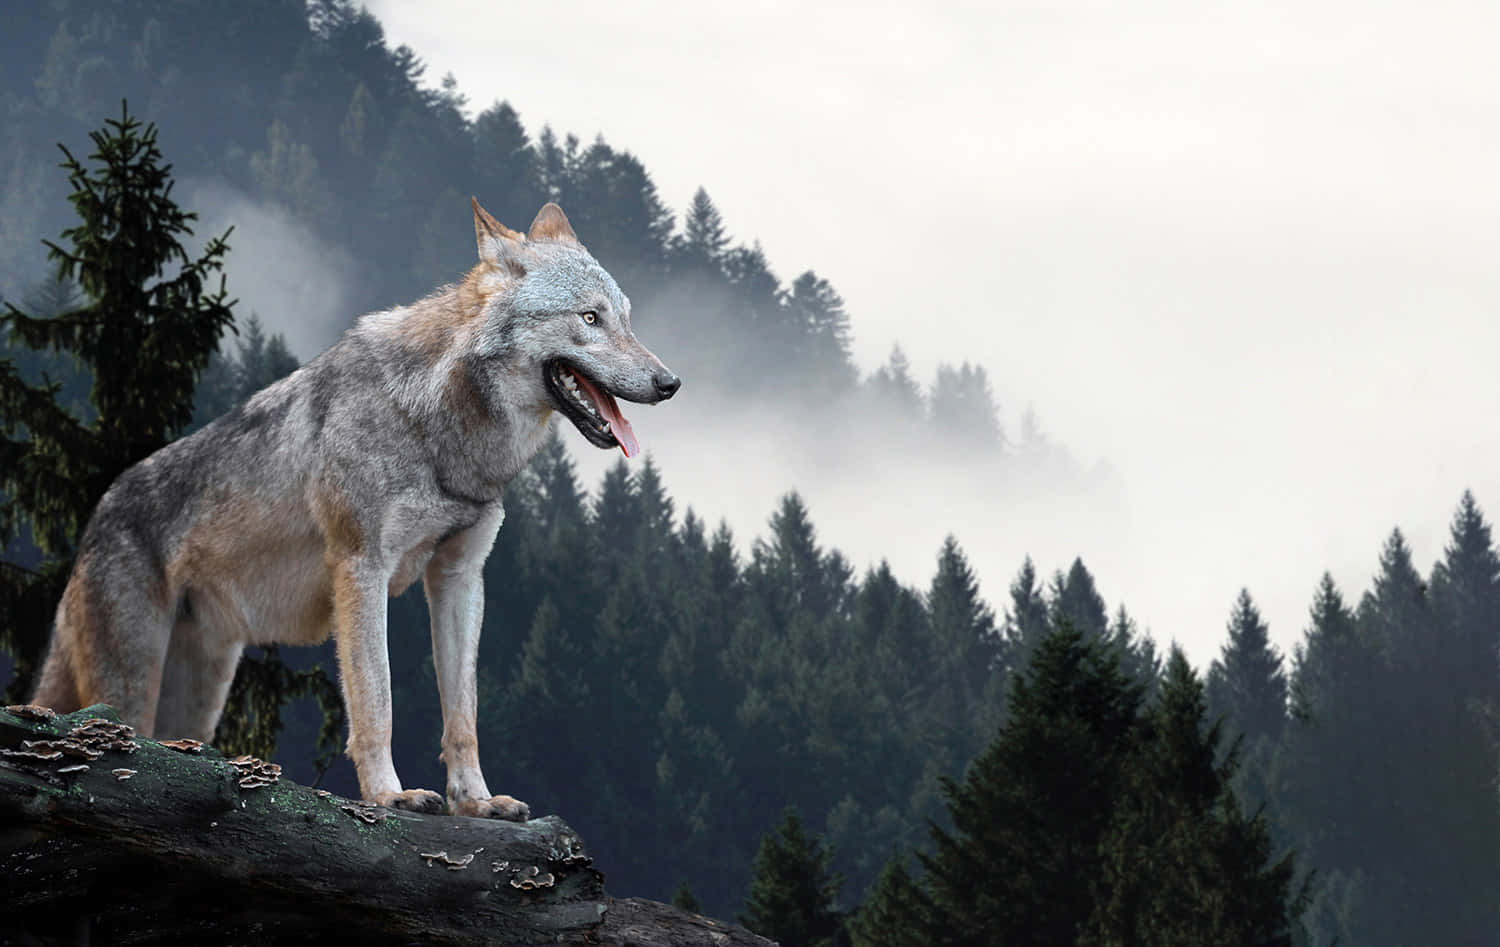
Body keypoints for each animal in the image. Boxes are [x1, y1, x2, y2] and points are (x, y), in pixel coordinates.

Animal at [31, 199, 679, 818]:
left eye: (626, 318)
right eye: (589, 318)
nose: (670, 383)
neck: (436, 426)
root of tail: (94, 520)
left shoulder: (460, 577)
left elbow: (462, 714)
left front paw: (475, 802)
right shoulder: (362, 568)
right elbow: (377, 700)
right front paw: (389, 796)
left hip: (198, 698)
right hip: (131, 688)